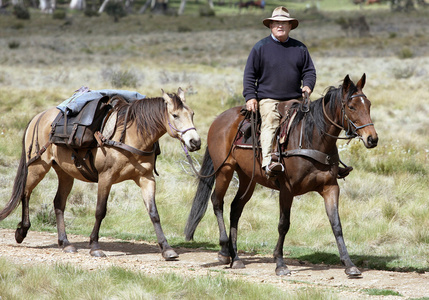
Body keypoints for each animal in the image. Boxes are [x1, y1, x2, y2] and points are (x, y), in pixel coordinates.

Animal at [0, 87, 201, 260]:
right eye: (175, 115)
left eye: (192, 114)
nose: (195, 142)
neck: (131, 136)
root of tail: (38, 117)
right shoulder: (106, 178)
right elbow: (100, 211)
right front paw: (95, 247)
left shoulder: (146, 179)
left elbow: (154, 213)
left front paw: (167, 249)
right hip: (37, 167)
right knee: (25, 193)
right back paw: (22, 232)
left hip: (65, 174)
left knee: (58, 204)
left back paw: (65, 243)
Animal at [184, 74, 378, 276]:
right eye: (351, 107)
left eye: (368, 105)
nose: (372, 138)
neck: (311, 139)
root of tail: (219, 119)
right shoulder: (287, 190)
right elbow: (283, 224)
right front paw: (280, 263)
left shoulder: (330, 188)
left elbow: (336, 224)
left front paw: (349, 264)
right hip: (225, 170)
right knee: (217, 201)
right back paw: (223, 251)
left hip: (247, 178)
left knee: (236, 208)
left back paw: (235, 257)